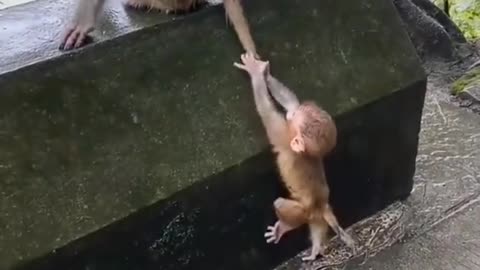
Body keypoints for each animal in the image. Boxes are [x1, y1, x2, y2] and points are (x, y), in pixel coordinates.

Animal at [234, 53, 354, 262]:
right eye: (298, 114)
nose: (293, 115)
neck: (303, 151)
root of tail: (319, 206)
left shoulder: (282, 135)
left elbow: (266, 112)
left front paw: (255, 73)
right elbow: (290, 102)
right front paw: (265, 72)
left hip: (301, 211)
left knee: (281, 204)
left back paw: (285, 226)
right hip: (315, 212)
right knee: (318, 223)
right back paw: (316, 245)